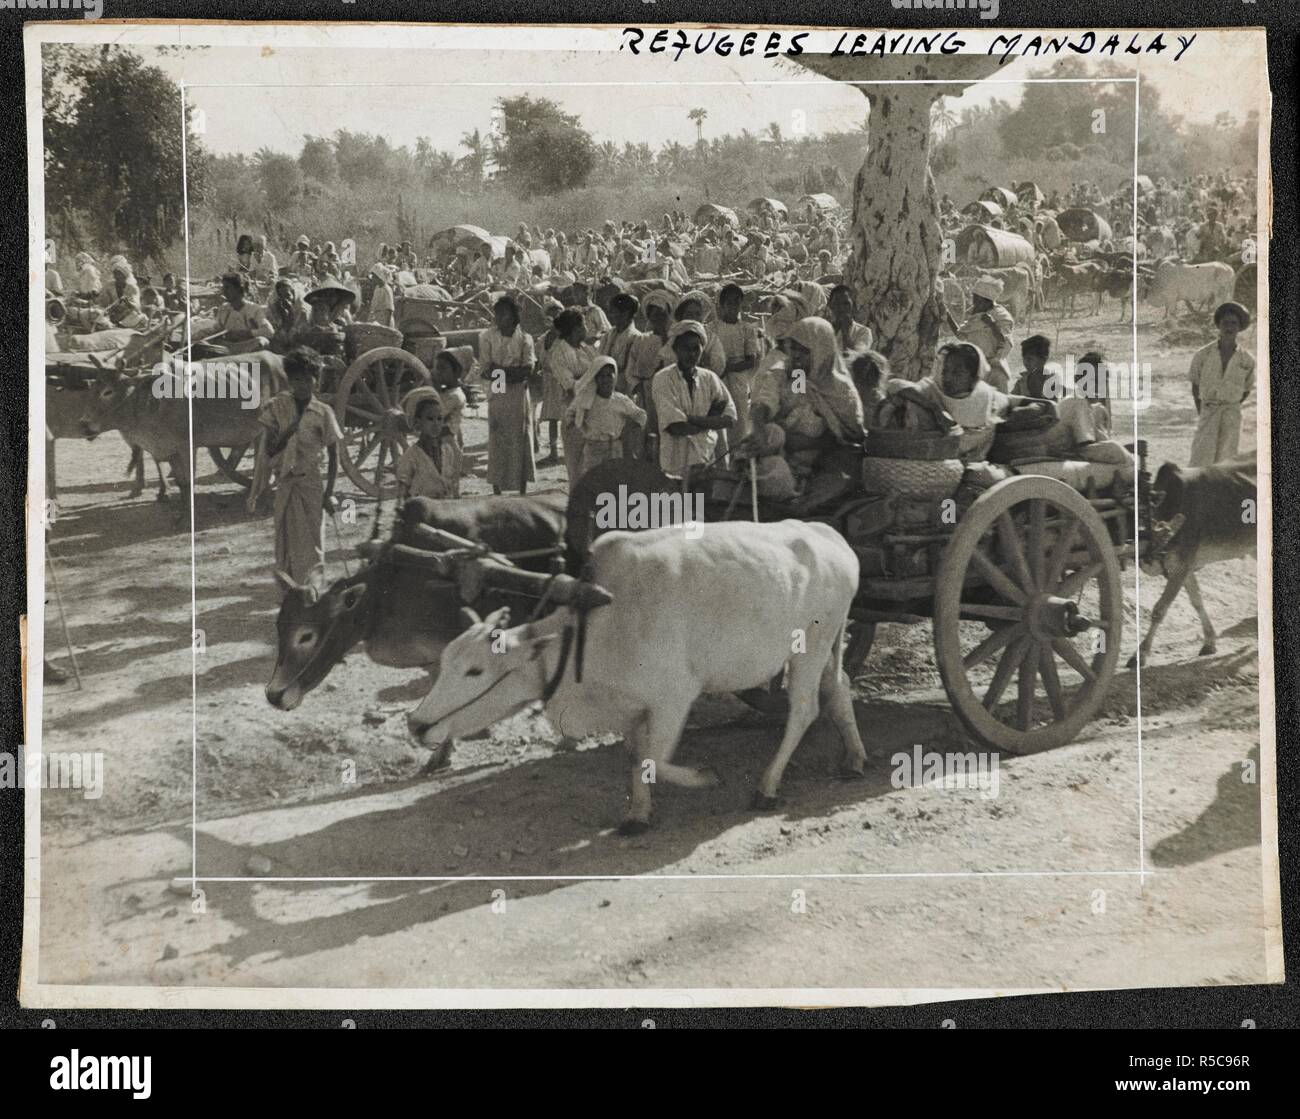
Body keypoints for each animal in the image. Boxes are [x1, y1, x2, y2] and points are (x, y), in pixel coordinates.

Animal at [1128, 452, 1258, 662]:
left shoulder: (1181, 565)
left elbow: (1159, 609)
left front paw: (1141, 654)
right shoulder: (1184, 568)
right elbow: (1197, 601)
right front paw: (1209, 643)